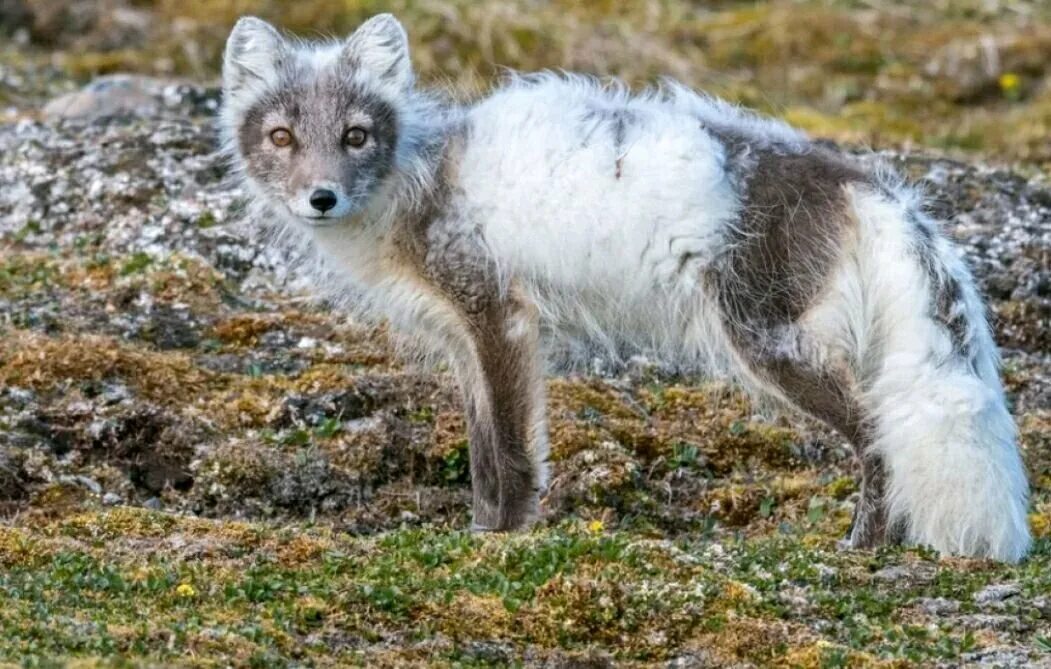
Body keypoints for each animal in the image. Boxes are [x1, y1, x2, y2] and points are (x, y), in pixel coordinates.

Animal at [217, 14, 1029, 558]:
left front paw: (503, 539)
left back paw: (862, 547)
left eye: (356, 135)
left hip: (768, 344)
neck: (412, 183)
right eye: (282, 137)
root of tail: (856, 178)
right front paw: (480, 529)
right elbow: (481, 454)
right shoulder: (462, 338)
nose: (320, 197)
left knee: (877, 436)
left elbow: (513, 455)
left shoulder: (501, 320)